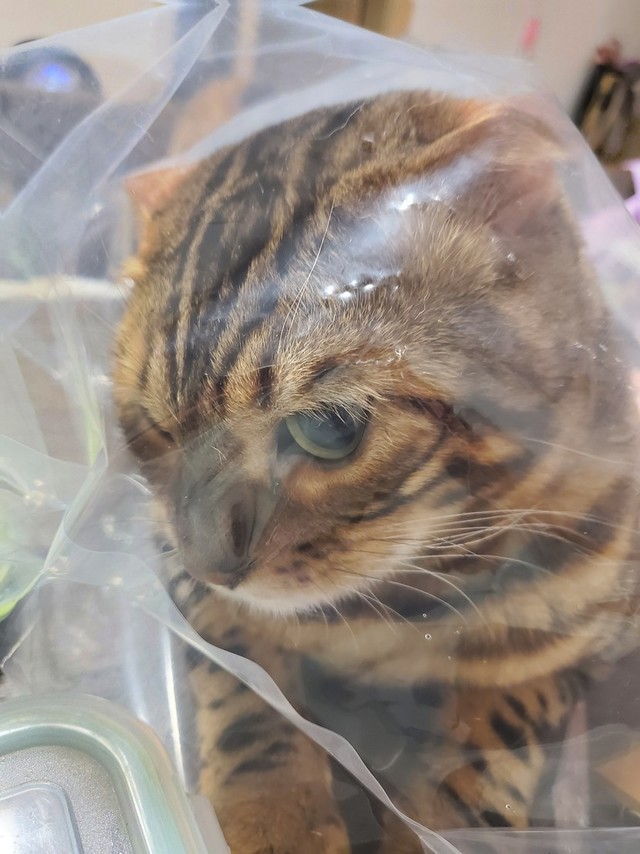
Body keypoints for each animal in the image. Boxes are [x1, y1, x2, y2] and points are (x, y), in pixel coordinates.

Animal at [113, 91, 640, 853]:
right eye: (152, 429)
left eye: (330, 428)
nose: (211, 560)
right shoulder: (184, 580)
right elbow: (244, 682)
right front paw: (273, 812)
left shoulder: (574, 647)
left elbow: (489, 746)